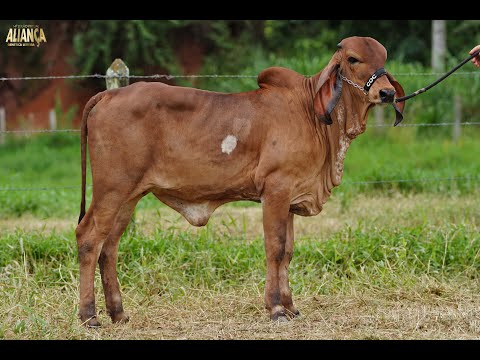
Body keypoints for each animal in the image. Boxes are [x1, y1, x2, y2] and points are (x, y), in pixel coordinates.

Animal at [76, 35, 404, 326]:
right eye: (353, 59)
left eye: (384, 58)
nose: (387, 93)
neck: (312, 114)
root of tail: (109, 94)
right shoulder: (276, 190)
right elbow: (275, 248)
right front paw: (276, 309)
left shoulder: (291, 198)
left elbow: (288, 251)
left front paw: (291, 307)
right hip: (112, 189)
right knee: (89, 237)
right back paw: (89, 315)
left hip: (129, 196)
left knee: (110, 247)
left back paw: (118, 313)